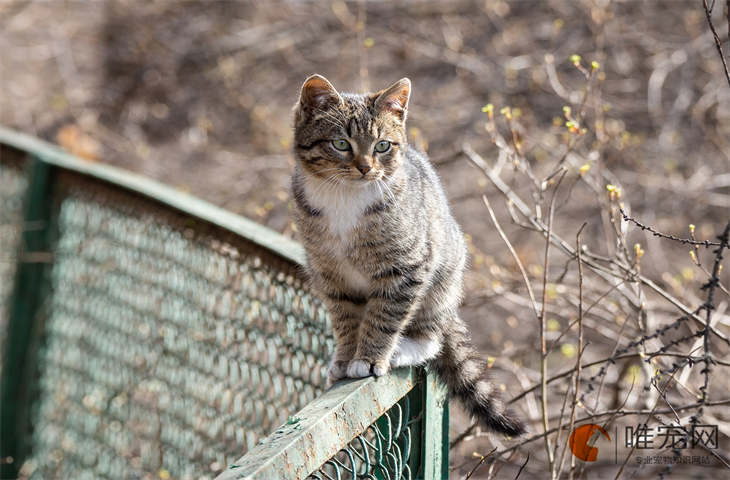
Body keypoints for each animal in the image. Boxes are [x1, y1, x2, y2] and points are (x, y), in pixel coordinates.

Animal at [290, 74, 524, 436]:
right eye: (341, 143)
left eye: (382, 146)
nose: (365, 168)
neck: (344, 197)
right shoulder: (329, 274)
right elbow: (345, 318)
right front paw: (345, 357)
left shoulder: (407, 267)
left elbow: (384, 315)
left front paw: (369, 358)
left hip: (441, 281)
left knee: (432, 337)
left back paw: (406, 347)